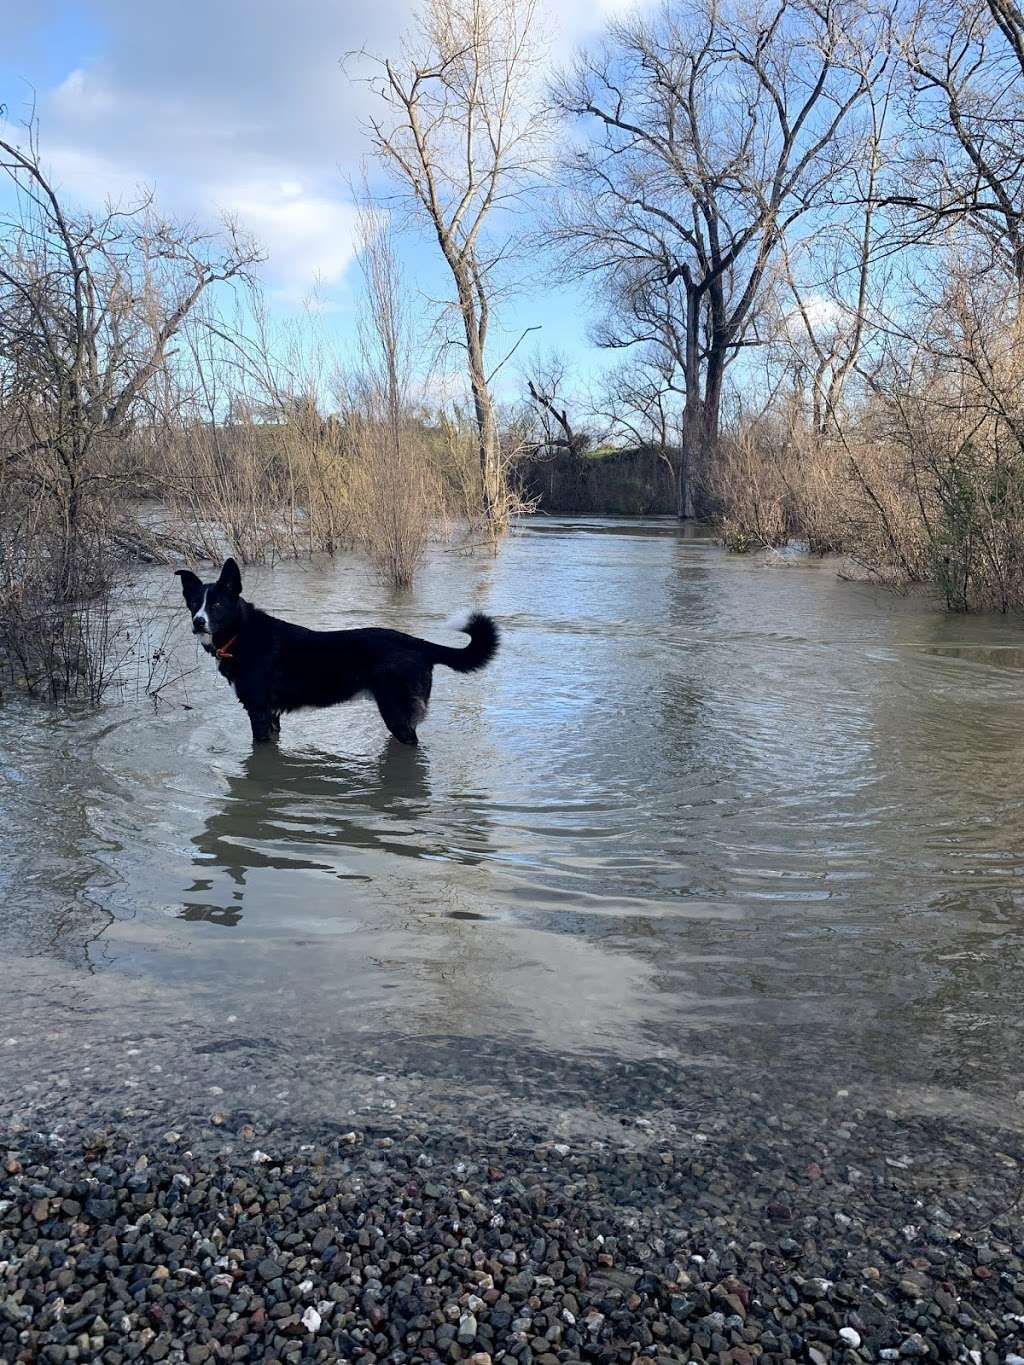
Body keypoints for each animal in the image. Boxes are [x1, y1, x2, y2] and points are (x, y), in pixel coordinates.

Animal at [176, 556, 502, 748]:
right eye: (193, 603)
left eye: (217, 603)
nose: (198, 622)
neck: (241, 633)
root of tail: (417, 643)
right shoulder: (272, 716)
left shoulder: (259, 711)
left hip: (396, 714)